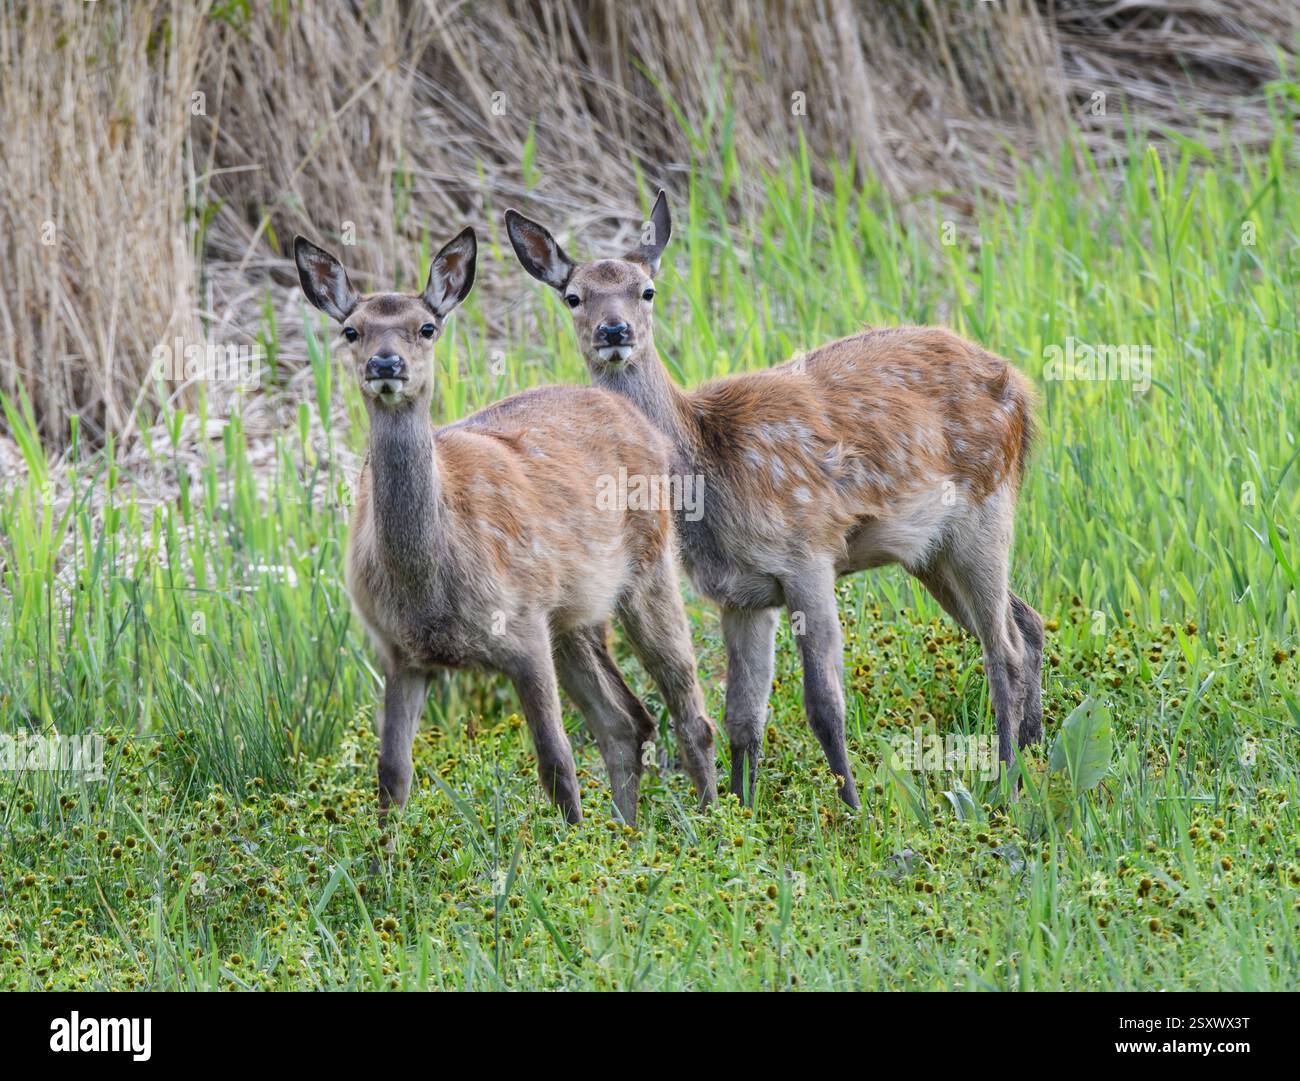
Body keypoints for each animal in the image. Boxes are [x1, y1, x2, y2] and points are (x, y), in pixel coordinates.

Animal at [293, 227, 717, 828]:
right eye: (351, 330)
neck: (431, 580)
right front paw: (383, 852)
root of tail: (630, 413)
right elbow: (392, 776)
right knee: (625, 723)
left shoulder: (523, 628)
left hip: (649, 568)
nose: (385, 363)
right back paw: (628, 832)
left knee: (685, 704)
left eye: (427, 327)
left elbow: (556, 762)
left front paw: (571, 845)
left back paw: (714, 819)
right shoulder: (399, 651)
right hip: (572, 615)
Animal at [505, 192, 1043, 810]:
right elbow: (742, 719)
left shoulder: (807, 556)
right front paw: (741, 815)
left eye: (647, 290)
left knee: (1002, 647)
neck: (710, 469)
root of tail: (1022, 388)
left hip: (986, 503)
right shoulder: (740, 595)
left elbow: (824, 705)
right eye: (573, 296)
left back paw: (1006, 782)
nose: (613, 330)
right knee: (1026, 621)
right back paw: (1032, 750)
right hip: (930, 550)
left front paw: (852, 811)